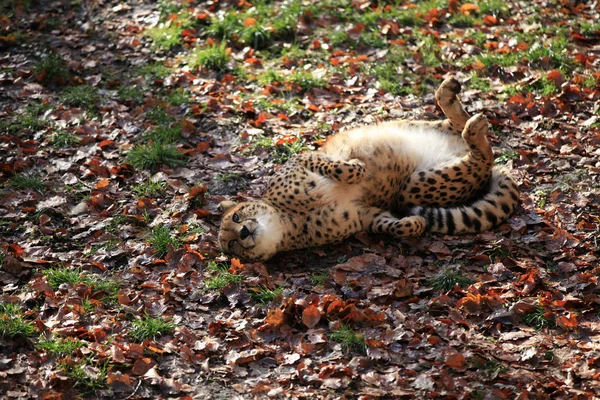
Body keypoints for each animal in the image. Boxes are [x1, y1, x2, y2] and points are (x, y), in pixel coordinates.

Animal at [218, 77, 516, 260]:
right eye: (232, 246)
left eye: (236, 217)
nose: (243, 233)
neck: (288, 219)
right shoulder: (366, 215)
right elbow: (394, 227)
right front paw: (413, 224)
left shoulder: (301, 158)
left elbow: (328, 163)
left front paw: (355, 167)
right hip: (414, 187)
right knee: (479, 153)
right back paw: (469, 120)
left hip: (413, 134)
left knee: (469, 137)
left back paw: (452, 98)